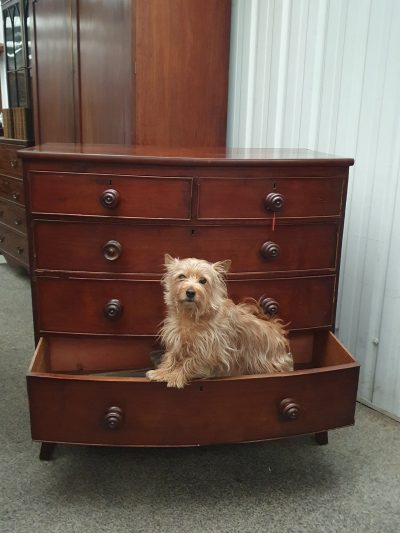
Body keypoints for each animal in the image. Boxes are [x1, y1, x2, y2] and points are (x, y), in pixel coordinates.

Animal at [145, 255, 292, 386]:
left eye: (203, 280)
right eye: (181, 276)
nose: (190, 292)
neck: (192, 315)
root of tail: (277, 328)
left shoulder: (208, 350)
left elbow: (189, 362)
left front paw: (175, 376)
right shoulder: (177, 340)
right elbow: (171, 356)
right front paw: (162, 372)